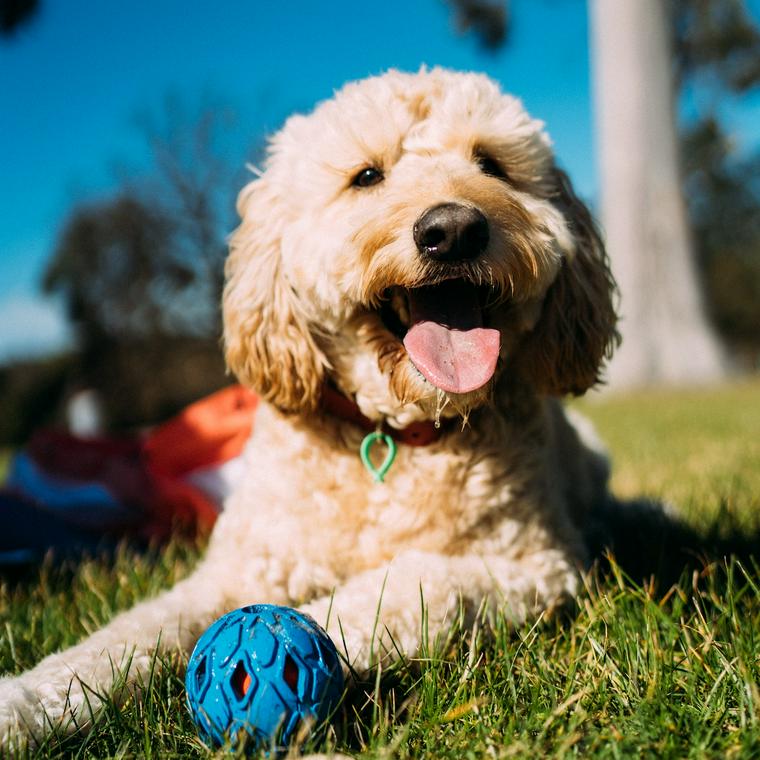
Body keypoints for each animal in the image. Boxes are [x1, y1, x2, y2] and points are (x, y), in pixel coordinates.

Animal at [0, 67, 616, 748]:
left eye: (491, 164)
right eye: (366, 176)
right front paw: (25, 704)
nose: (453, 230)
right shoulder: (237, 571)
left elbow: (398, 589)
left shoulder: (531, 565)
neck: (391, 436)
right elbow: (128, 636)